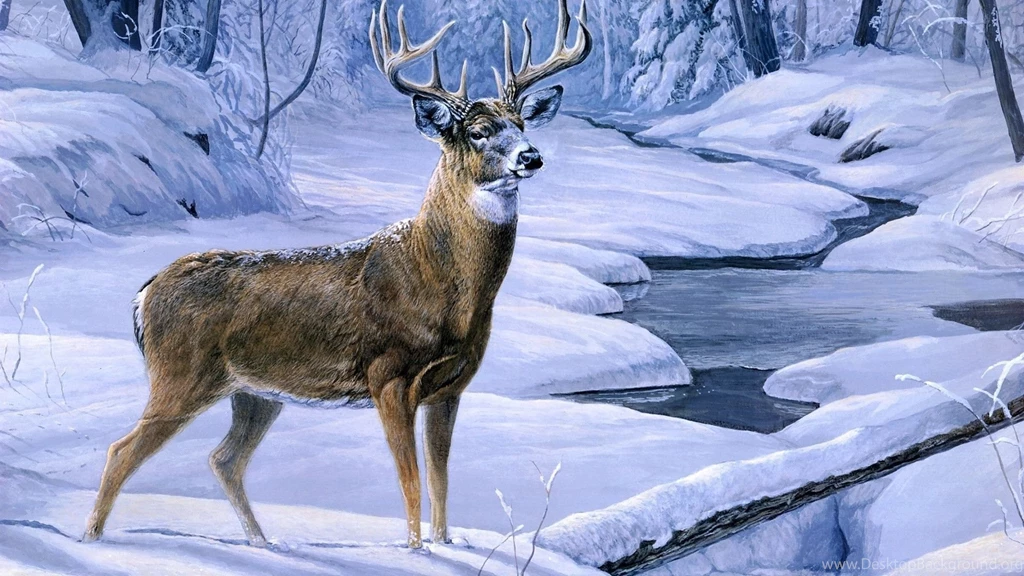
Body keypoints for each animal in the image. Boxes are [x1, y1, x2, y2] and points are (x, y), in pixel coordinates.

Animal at [82, 0, 591, 550]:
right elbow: (411, 481)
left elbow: (441, 481)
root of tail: (143, 294)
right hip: (180, 373)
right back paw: (91, 539)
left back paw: (262, 543)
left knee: (224, 458)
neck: (442, 285)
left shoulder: (450, 387)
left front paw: (444, 545)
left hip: (255, 393)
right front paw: (414, 551)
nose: (532, 157)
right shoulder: (387, 373)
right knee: (120, 450)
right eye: (477, 132)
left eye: (521, 124)